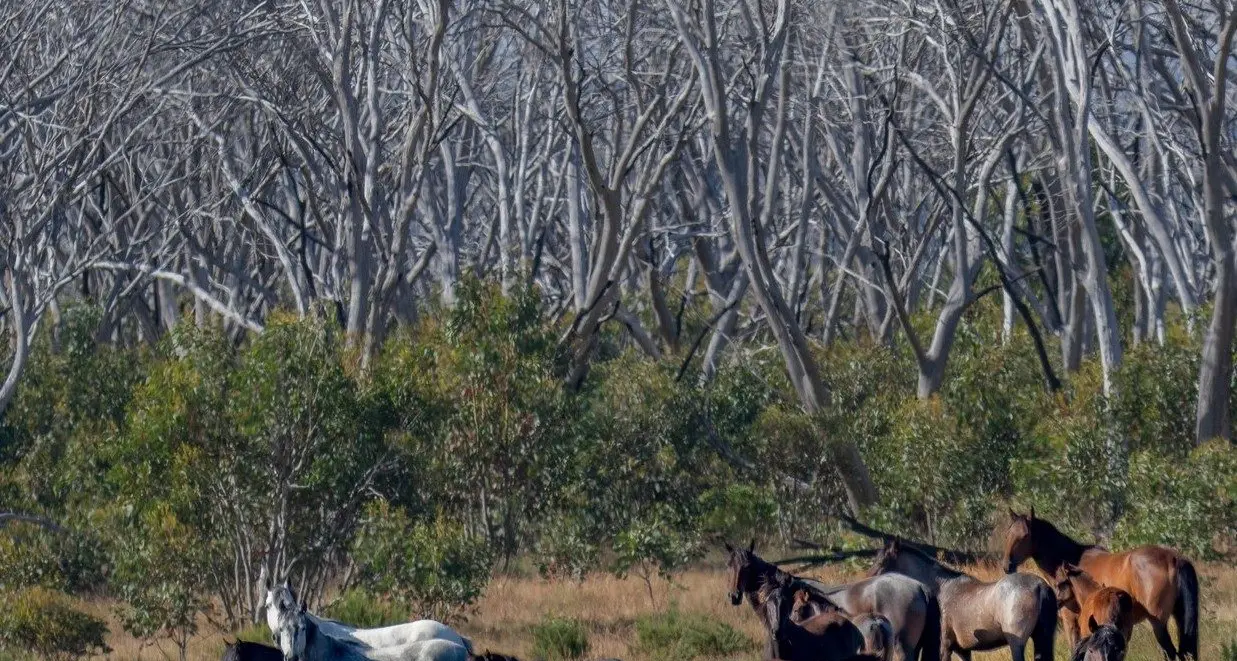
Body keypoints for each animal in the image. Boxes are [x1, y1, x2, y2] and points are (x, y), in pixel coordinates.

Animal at [868, 539, 1055, 661]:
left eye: (882, 562)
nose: (868, 580)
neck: (942, 589)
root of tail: (1039, 585)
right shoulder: (964, 651)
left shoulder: (944, 647)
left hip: (1017, 644)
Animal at [1002, 509, 1199, 660]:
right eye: (1007, 534)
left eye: (1025, 535)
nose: (1007, 566)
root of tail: (1174, 558)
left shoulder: (1071, 621)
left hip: (1158, 624)